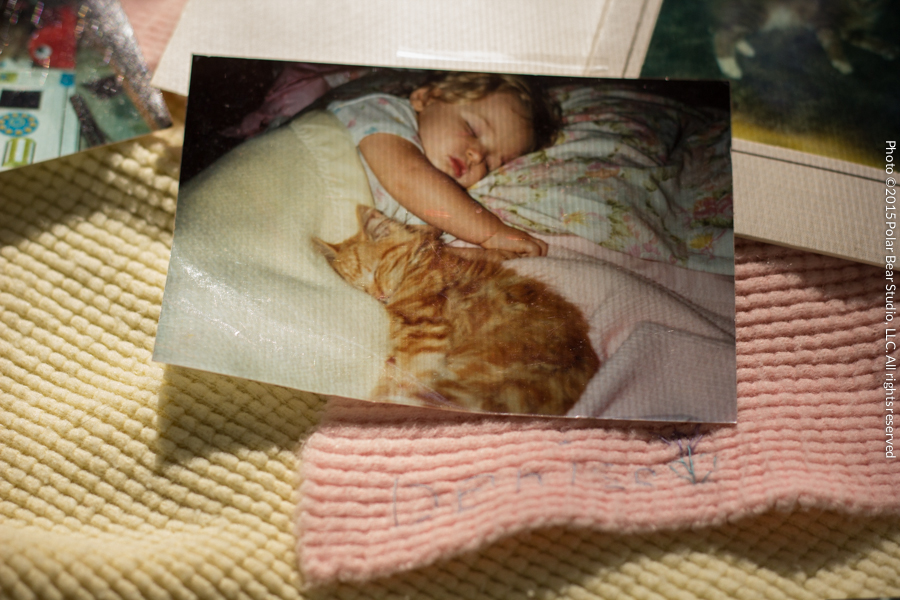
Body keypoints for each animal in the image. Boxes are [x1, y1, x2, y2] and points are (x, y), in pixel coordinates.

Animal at [312, 204, 600, 414]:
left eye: (374, 272)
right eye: (359, 288)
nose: (379, 296)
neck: (418, 266)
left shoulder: (425, 333)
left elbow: (400, 377)